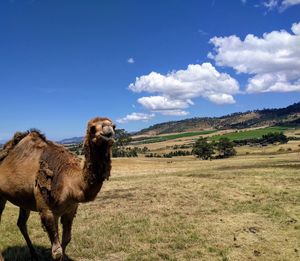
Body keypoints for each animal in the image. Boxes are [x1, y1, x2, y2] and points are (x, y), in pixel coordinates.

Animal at [0, 117, 115, 258]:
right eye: (93, 128)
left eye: (114, 126)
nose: (108, 132)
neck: (69, 182)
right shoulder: (47, 210)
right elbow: (57, 251)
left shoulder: (71, 209)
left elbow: (66, 240)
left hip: (23, 199)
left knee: (21, 223)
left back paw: (34, 254)